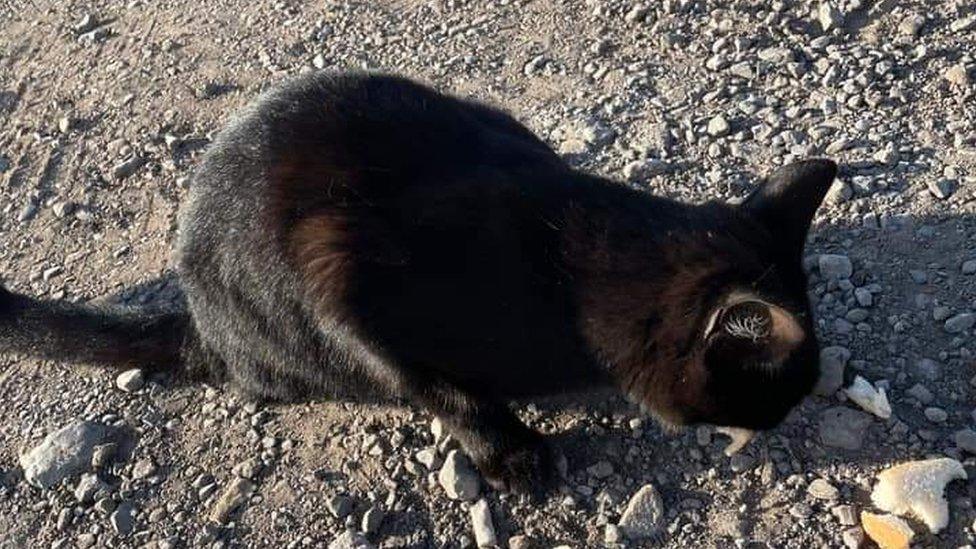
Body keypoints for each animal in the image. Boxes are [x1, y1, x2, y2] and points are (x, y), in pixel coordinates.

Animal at [1, 71, 840, 492]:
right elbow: (438, 387)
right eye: (779, 389)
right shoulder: (338, 277)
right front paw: (510, 454)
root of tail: (201, 321)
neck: (569, 276)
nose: (787, 416)